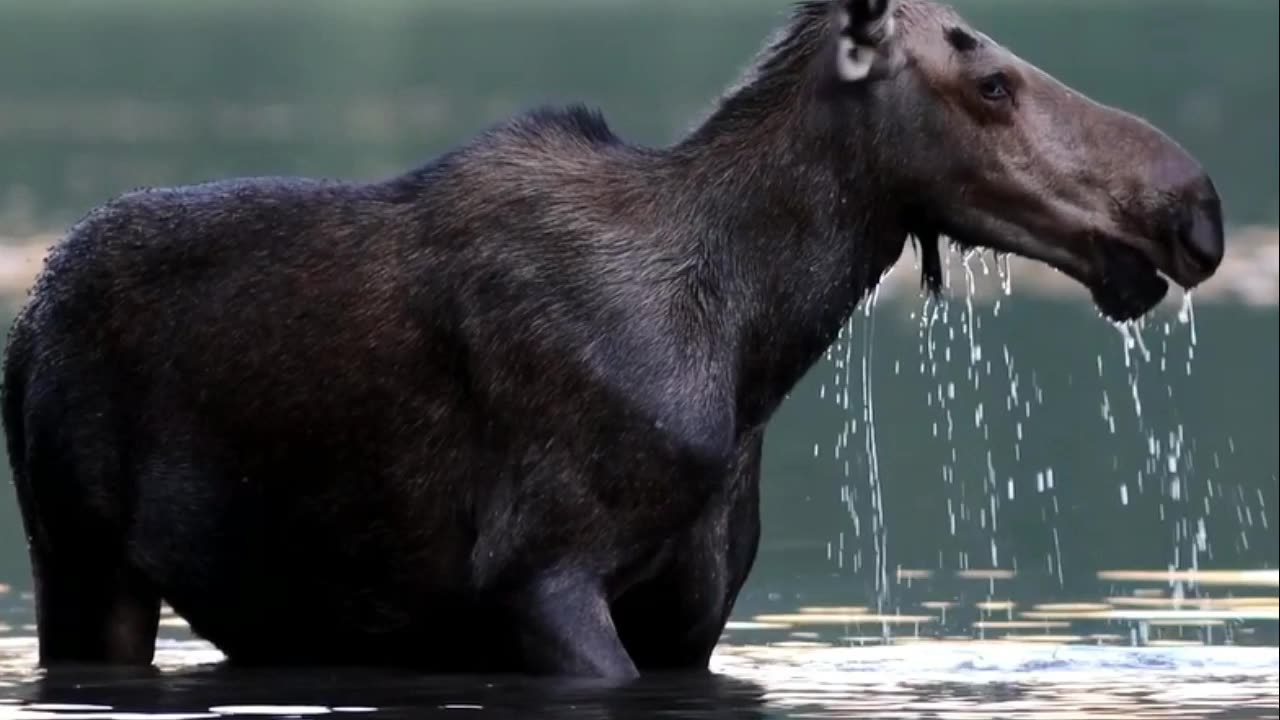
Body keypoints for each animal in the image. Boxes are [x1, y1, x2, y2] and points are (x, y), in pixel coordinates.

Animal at [0, 0, 1218, 676]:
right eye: (992, 81)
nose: (1195, 207)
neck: (752, 339)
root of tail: (25, 329)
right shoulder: (536, 575)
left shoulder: (691, 609)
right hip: (79, 555)